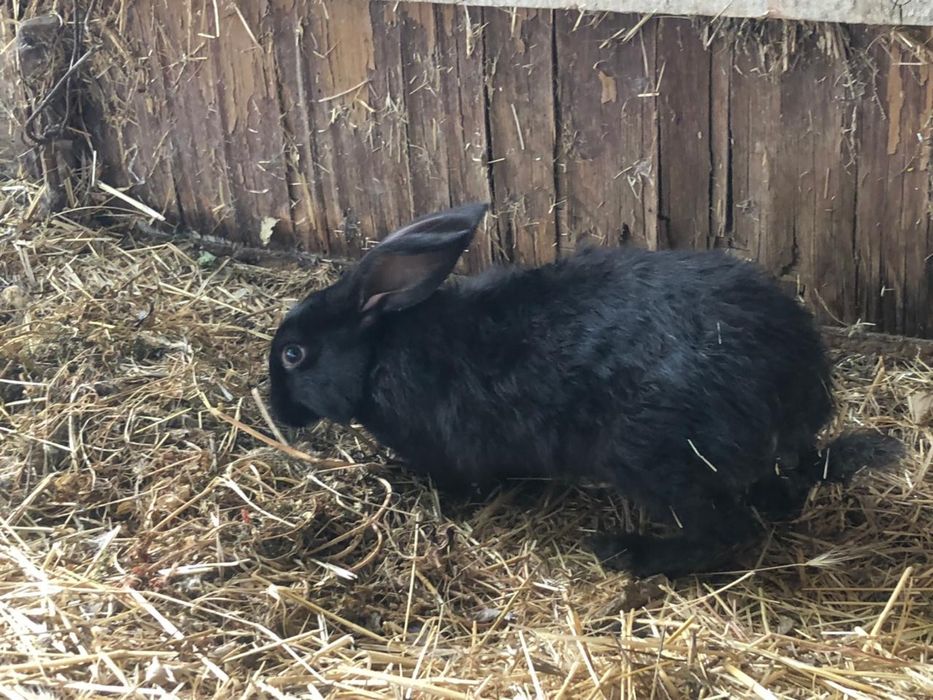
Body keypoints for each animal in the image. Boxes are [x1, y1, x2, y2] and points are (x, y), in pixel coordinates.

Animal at [268, 202, 902, 578]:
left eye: (294, 355)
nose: (278, 411)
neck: (377, 355)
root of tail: (796, 389)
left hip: (654, 461)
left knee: (723, 533)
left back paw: (628, 552)